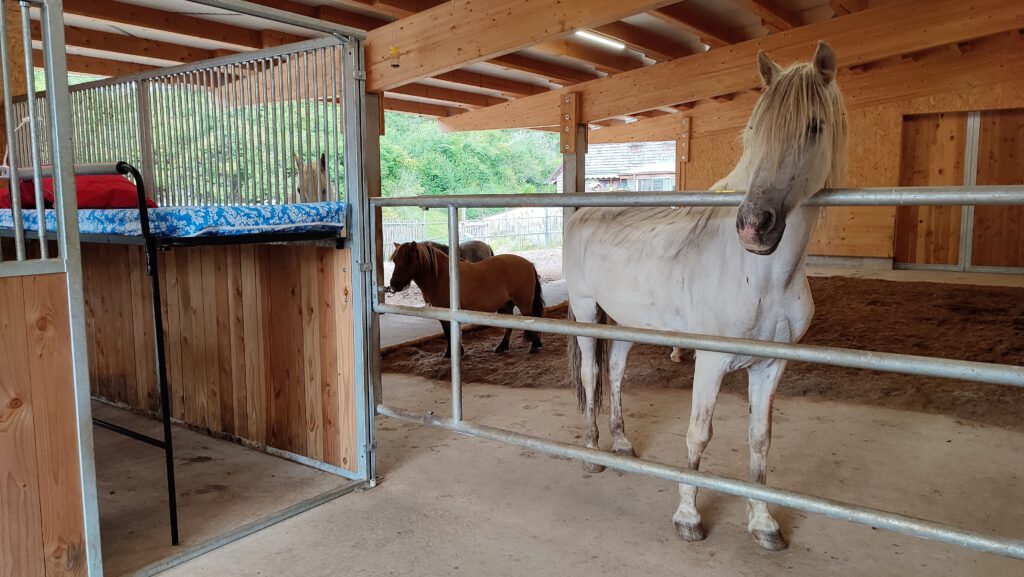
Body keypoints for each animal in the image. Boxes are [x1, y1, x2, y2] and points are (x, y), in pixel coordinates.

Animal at [387, 240, 544, 356]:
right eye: (395, 260)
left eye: (409, 260)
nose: (394, 284)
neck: (441, 277)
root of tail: (528, 263)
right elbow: (448, 332)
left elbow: (450, 332)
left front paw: (453, 353)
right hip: (507, 304)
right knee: (509, 325)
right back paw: (502, 346)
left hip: (524, 303)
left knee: (531, 320)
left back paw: (534, 346)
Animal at [565, 42, 843, 553]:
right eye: (754, 129)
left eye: (814, 126)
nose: (754, 225)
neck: (762, 277)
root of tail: (584, 212)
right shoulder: (710, 361)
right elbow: (698, 435)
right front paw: (688, 516)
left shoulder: (771, 365)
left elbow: (760, 441)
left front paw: (764, 523)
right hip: (586, 313)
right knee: (593, 376)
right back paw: (593, 452)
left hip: (627, 323)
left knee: (615, 373)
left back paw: (621, 443)